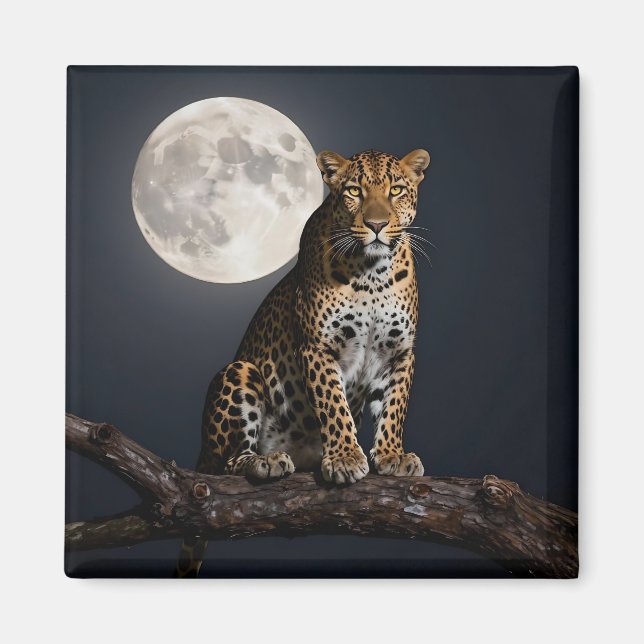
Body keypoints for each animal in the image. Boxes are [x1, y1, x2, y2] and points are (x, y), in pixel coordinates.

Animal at [176, 147, 431, 576]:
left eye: (396, 190)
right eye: (354, 191)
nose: (377, 225)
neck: (372, 275)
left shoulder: (399, 352)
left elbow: (394, 408)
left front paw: (393, 455)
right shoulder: (318, 348)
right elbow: (334, 405)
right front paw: (345, 458)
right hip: (239, 373)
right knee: (225, 463)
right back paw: (264, 462)